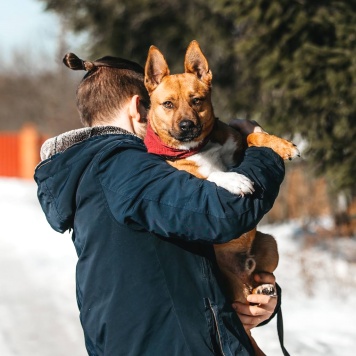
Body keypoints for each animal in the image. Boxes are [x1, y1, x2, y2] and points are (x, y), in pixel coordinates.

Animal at [143, 41, 298, 354]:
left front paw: (281, 144)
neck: (199, 147)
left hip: (269, 242)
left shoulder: (238, 144)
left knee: (255, 284)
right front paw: (233, 180)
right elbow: (210, 177)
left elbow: (253, 138)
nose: (187, 125)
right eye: (168, 104)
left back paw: (264, 287)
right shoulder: (181, 174)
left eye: (197, 100)